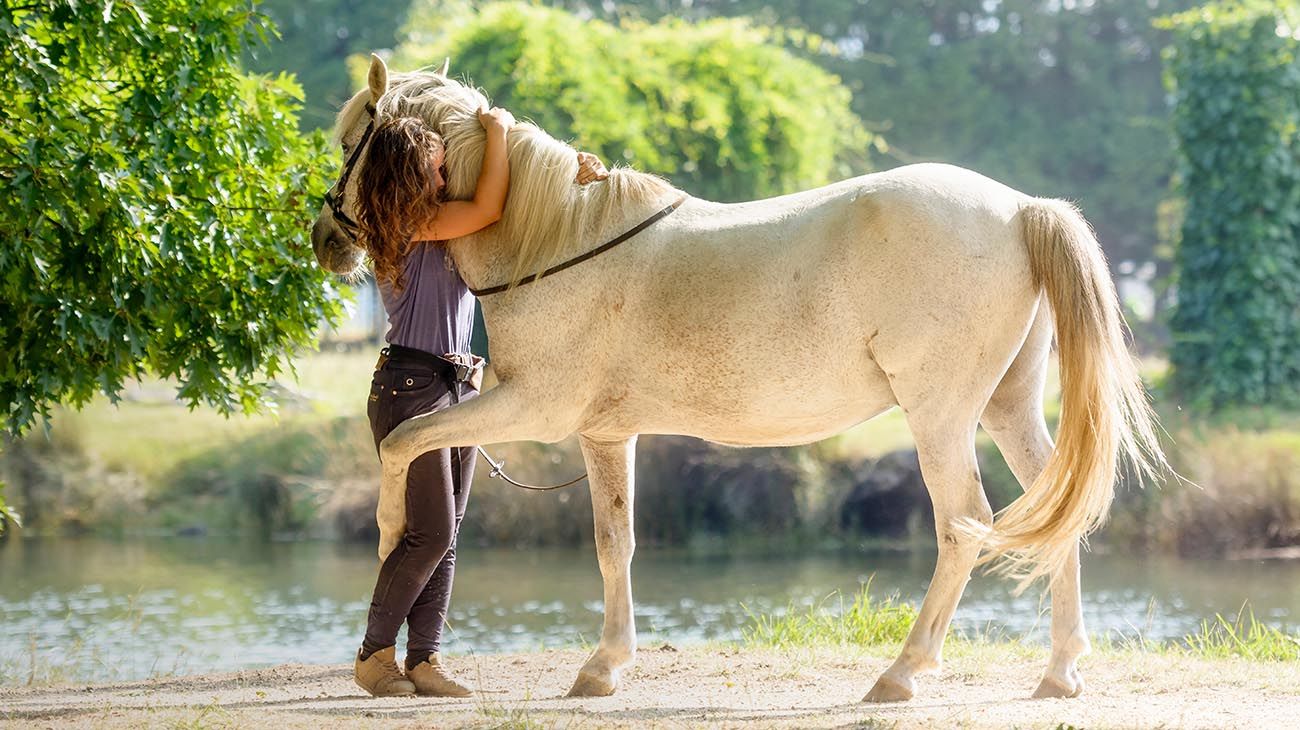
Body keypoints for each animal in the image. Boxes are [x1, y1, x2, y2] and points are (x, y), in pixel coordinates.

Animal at [314, 56, 1170, 701]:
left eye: (355, 139)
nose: (326, 237)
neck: (556, 240)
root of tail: (1021, 209)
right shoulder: (605, 434)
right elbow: (614, 542)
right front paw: (604, 667)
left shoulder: (532, 408)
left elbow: (404, 443)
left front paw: (387, 543)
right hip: (1007, 407)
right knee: (1056, 511)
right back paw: (1058, 673)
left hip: (939, 417)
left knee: (963, 524)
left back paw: (901, 674)